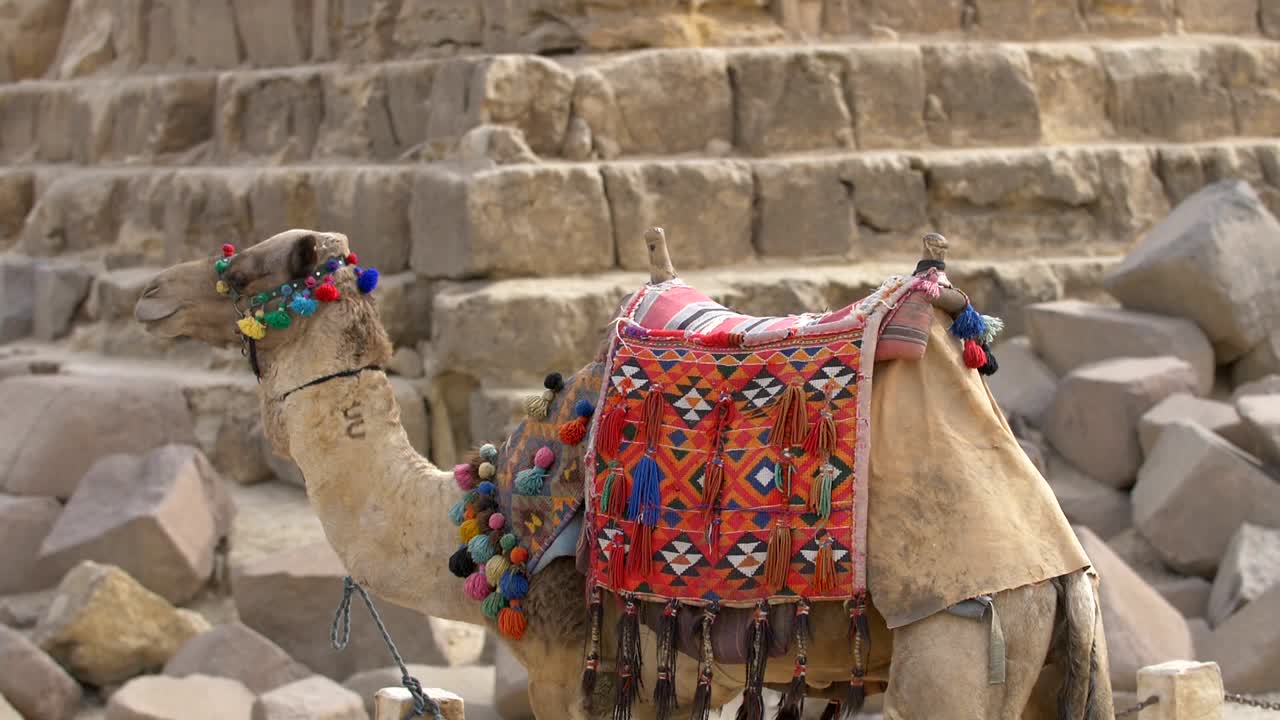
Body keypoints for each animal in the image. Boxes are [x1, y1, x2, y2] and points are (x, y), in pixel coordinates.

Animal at [135, 227, 1114, 720]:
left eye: (237, 270)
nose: (146, 295)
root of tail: (1058, 565)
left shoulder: (566, 661)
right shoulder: (668, 671)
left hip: (956, 649)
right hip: (1047, 662)